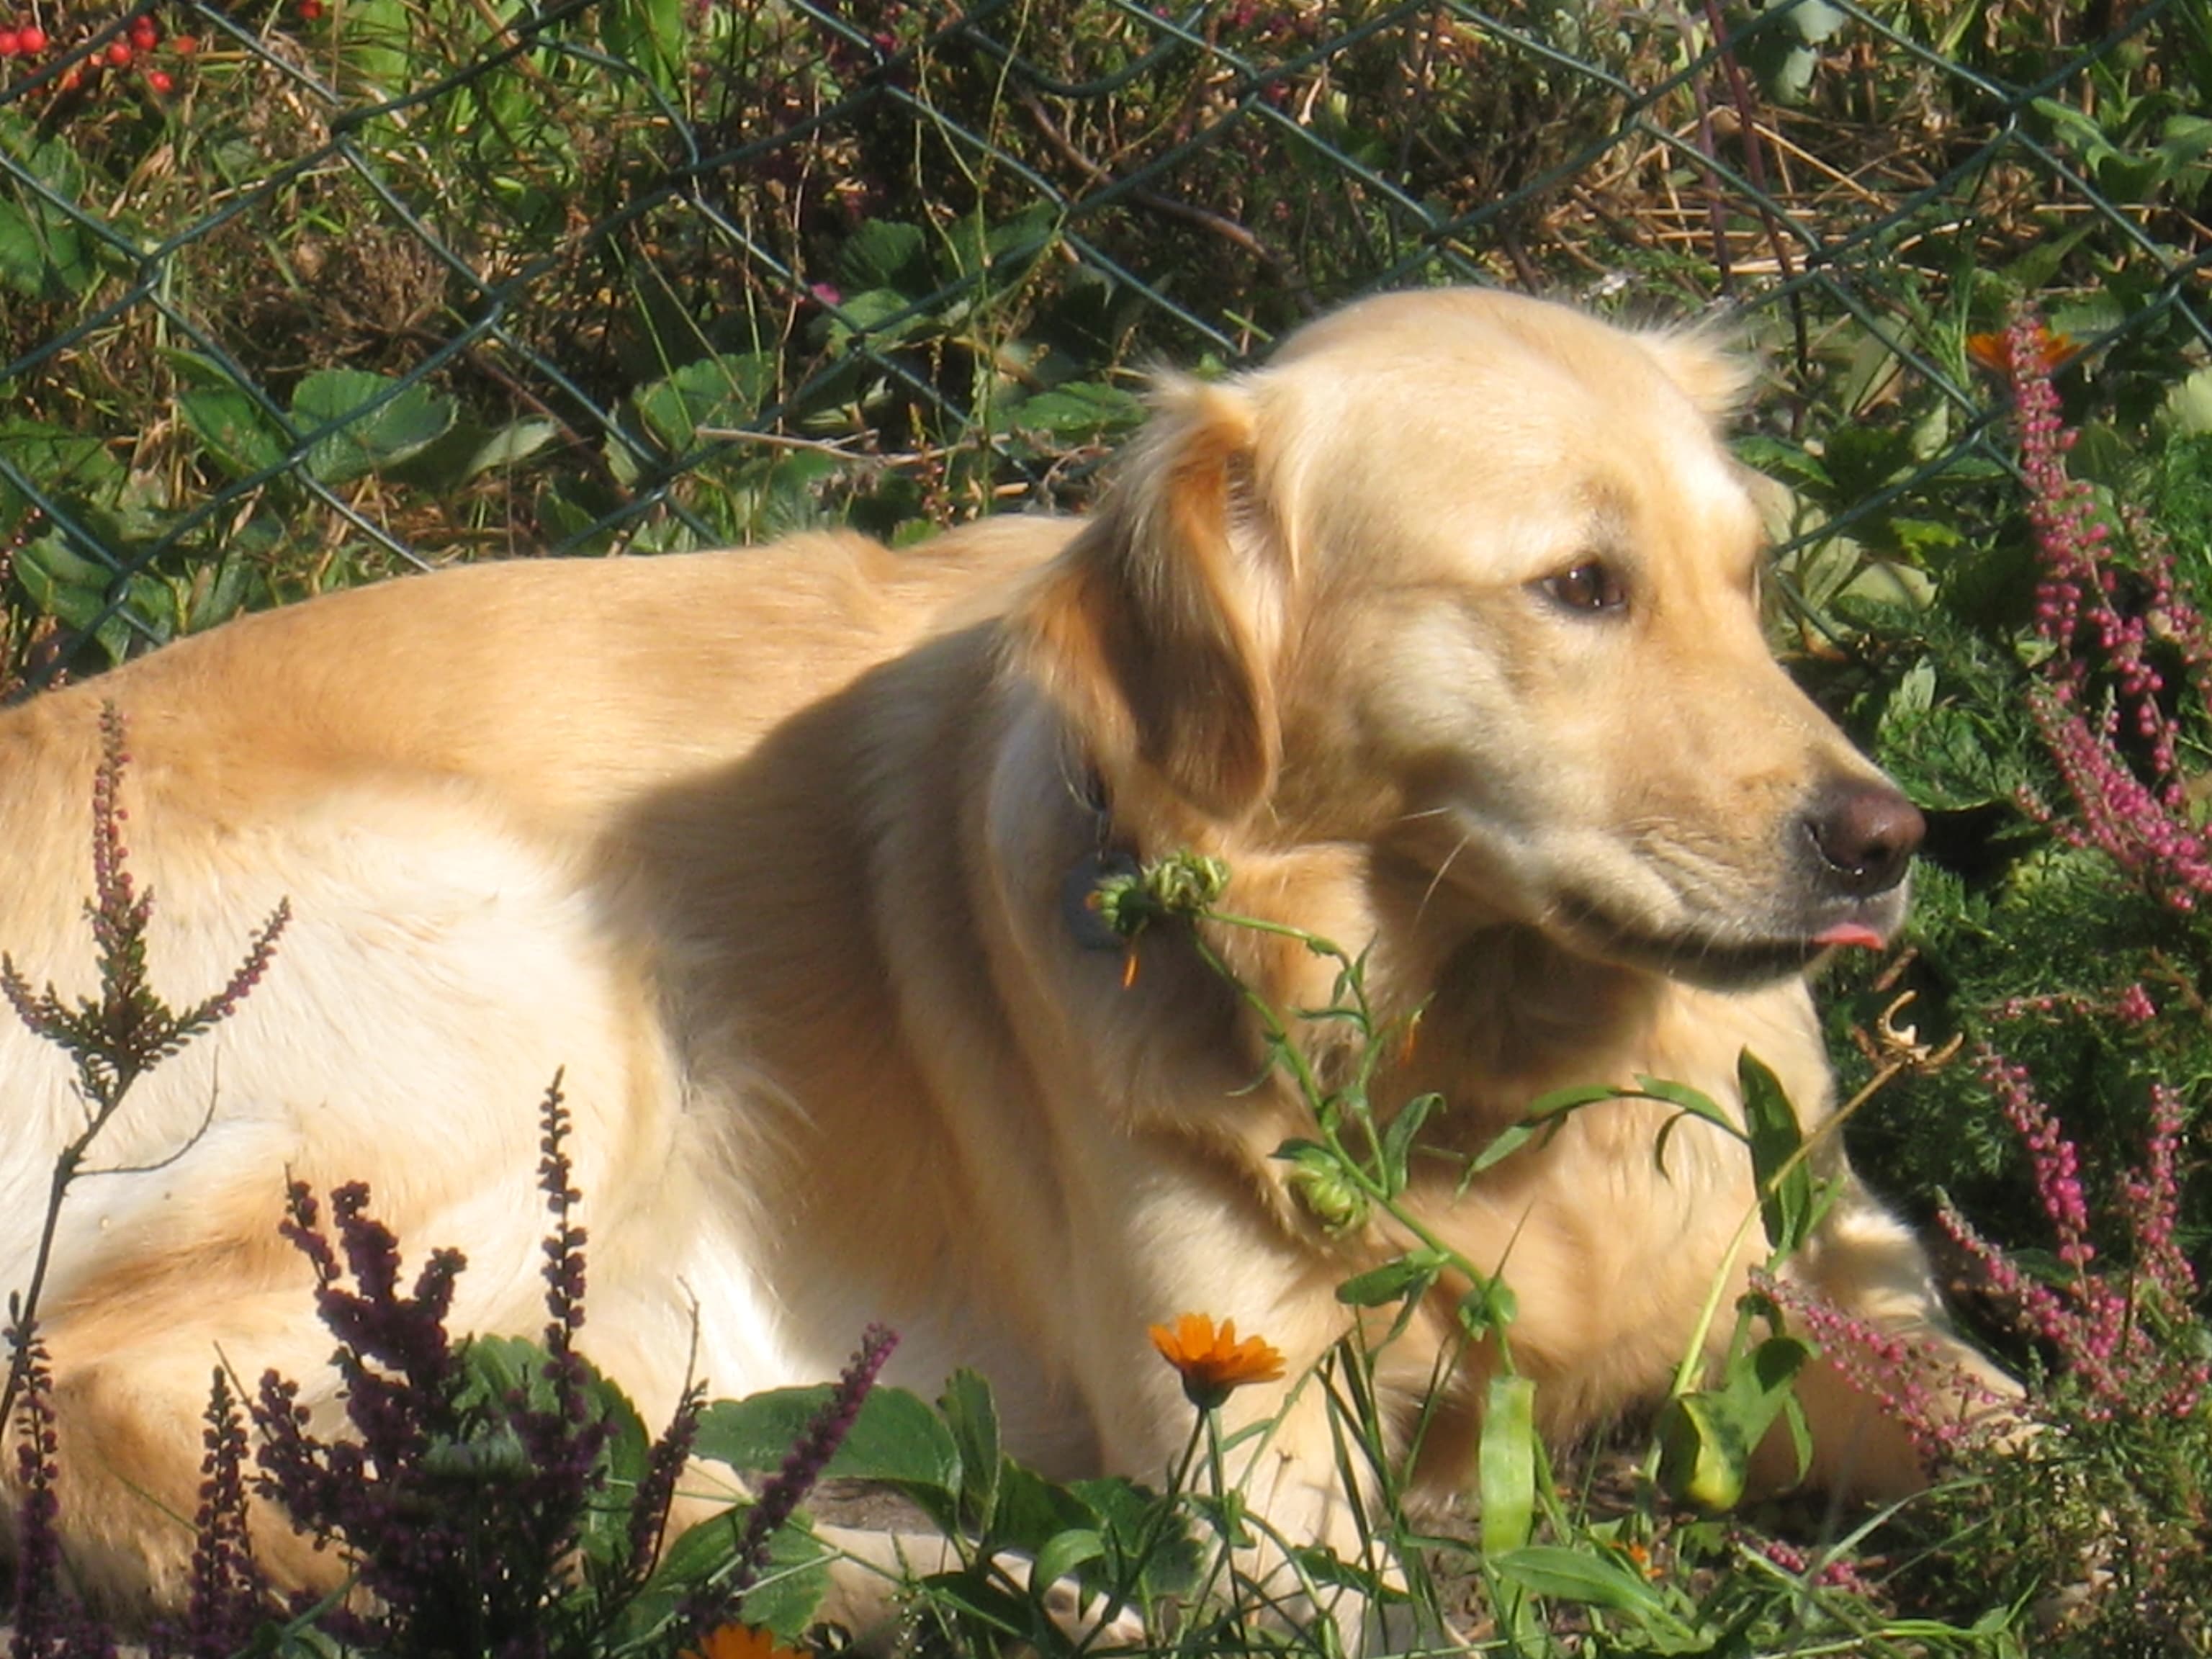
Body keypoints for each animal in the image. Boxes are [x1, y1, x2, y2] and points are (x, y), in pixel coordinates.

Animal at [0, 285, 2008, 1627]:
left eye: (1745, 583)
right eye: (1576, 588)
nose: (1883, 843)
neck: (1479, 1078)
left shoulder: (1822, 1271)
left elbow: (2014, 1424)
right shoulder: (1247, 1446)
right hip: (540, 971)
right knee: (130, 1402)